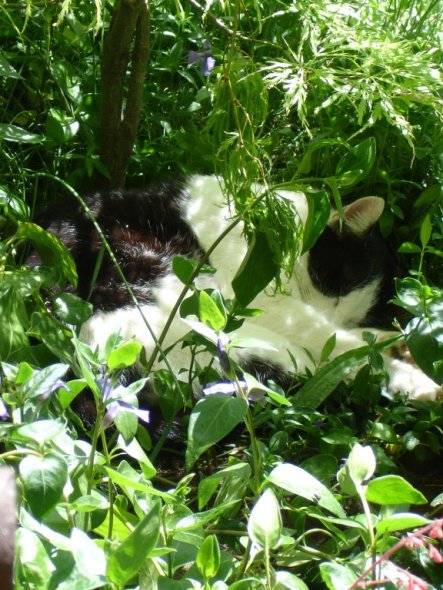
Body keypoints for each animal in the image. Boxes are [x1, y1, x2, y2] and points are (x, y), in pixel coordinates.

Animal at [38, 176, 440, 402]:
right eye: (335, 287)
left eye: (350, 311)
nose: (336, 318)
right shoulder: (259, 296)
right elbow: (327, 337)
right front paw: (380, 341)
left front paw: (384, 334)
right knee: (330, 363)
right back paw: (421, 381)